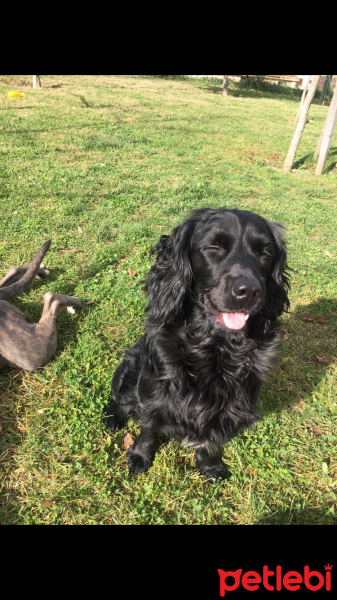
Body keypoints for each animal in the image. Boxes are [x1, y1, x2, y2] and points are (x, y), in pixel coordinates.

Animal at [105, 209, 288, 480]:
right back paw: (112, 418)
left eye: (265, 252)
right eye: (214, 247)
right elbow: (148, 428)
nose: (249, 291)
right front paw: (139, 456)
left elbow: (211, 438)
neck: (214, 345)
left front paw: (209, 464)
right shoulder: (153, 392)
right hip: (127, 366)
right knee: (117, 398)